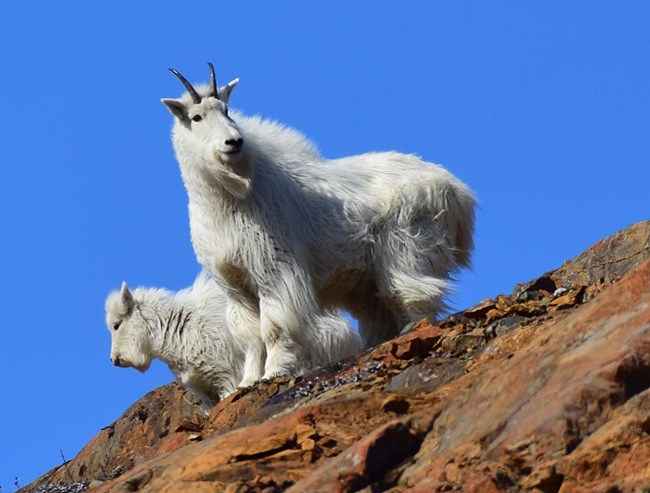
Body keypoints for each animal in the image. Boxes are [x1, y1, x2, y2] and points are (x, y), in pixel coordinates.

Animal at [161, 62, 476, 384]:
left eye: (226, 110)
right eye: (196, 117)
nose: (234, 142)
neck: (228, 199)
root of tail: (458, 191)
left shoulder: (274, 270)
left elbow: (274, 327)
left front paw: (272, 372)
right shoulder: (235, 284)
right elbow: (249, 336)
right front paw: (247, 381)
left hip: (410, 245)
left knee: (414, 293)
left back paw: (412, 330)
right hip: (364, 280)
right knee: (380, 314)